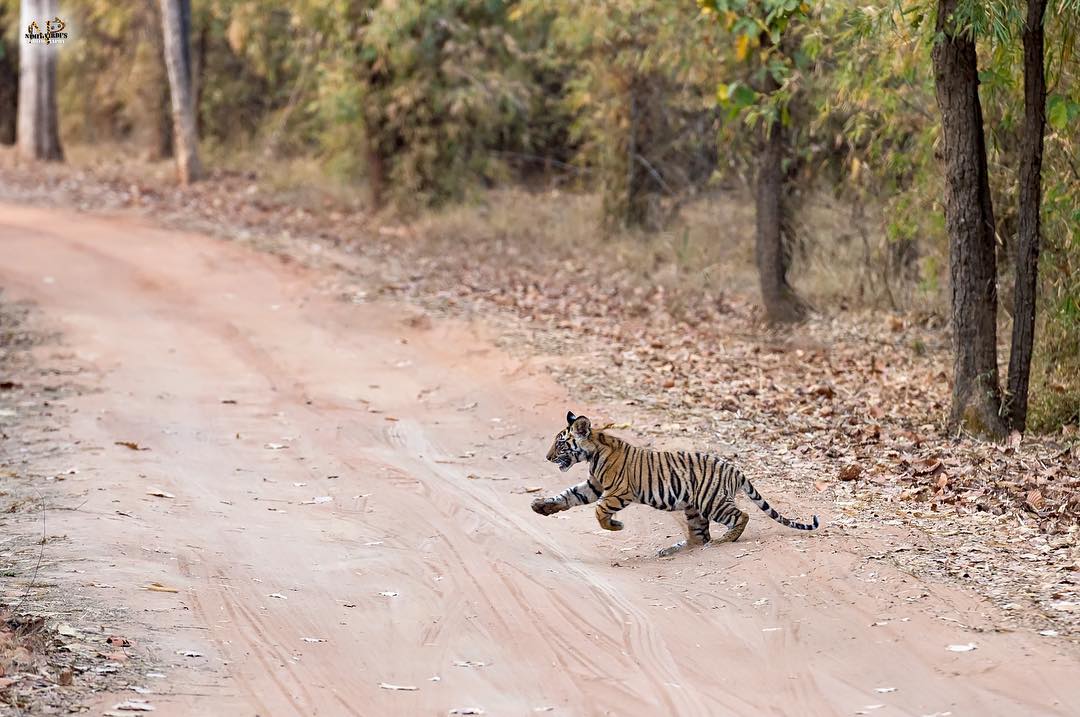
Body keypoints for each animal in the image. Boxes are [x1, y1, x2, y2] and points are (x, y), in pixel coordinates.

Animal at [532, 411, 820, 556]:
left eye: (560, 444)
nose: (546, 457)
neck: (594, 452)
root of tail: (735, 469)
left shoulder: (618, 492)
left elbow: (599, 511)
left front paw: (615, 526)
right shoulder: (593, 486)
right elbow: (568, 495)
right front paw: (541, 506)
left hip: (712, 501)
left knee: (741, 516)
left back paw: (725, 539)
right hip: (694, 509)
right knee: (698, 537)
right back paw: (671, 550)